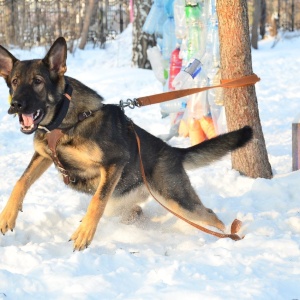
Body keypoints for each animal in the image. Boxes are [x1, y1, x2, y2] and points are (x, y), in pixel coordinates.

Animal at [0, 37, 253, 251]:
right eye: (14, 82)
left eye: (38, 82)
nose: (15, 105)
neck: (65, 119)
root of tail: (173, 152)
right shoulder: (43, 156)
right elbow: (20, 182)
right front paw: (7, 216)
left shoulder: (114, 162)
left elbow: (97, 201)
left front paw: (84, 233)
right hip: (127, 204)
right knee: (137, 212)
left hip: (176, 199)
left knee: (210, 215)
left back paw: (228, 238)